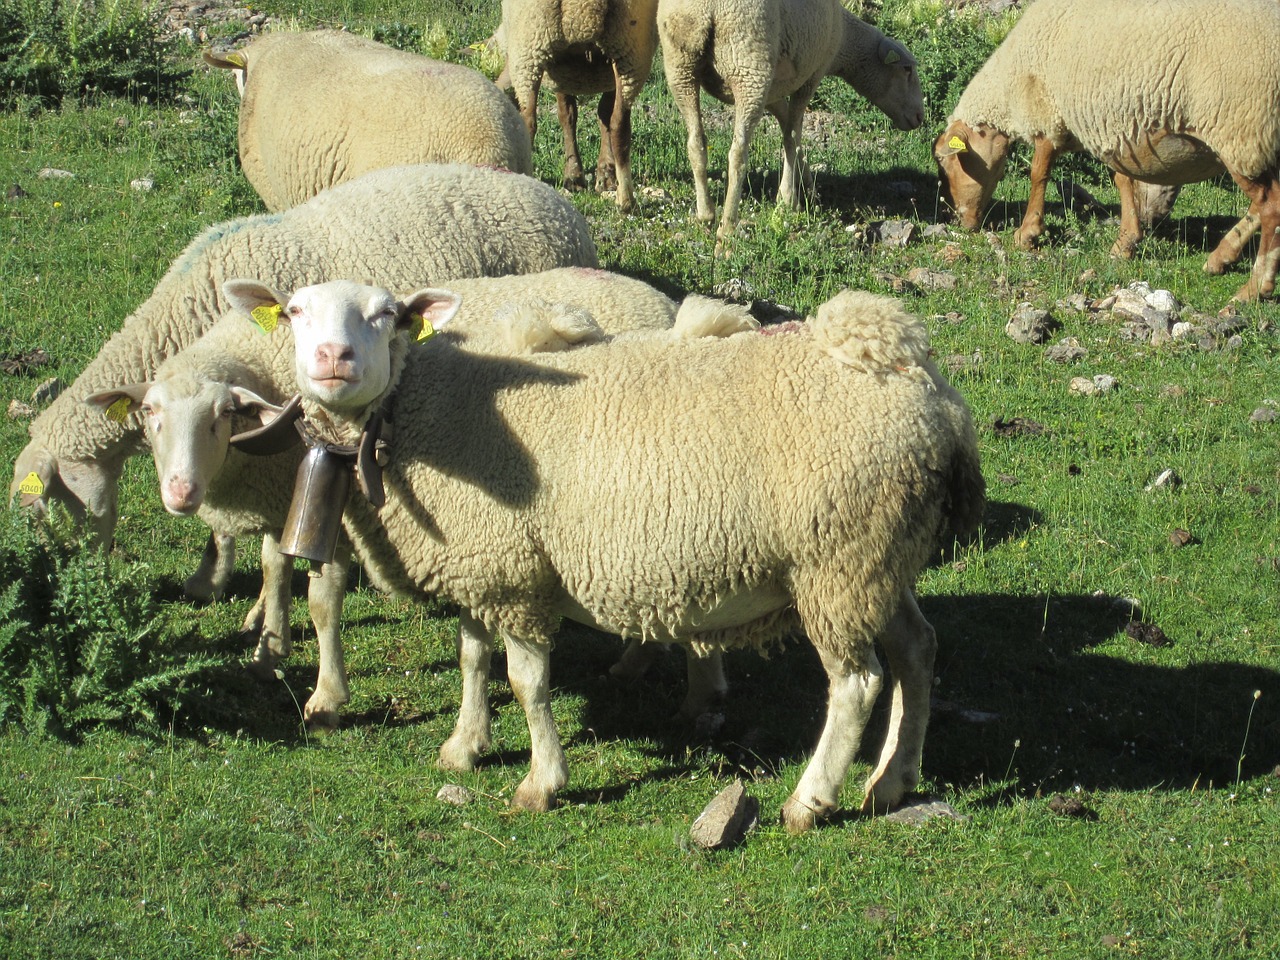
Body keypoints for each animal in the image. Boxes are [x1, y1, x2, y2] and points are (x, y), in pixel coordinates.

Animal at [225, 280, 983, 834]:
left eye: (386, 315)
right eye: (294, 311)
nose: (333, 360)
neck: (427, 411)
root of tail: (924, 386)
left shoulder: (517, 579)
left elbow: (527, 682)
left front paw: (540, 783)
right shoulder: (486, 564)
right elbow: (472, 658)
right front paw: (465, 746)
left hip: (836, 562)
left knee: (856, 683)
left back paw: (810, 800)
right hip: (881, 558)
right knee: (919, 649)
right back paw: (893, 781)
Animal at [496, 0, 660, 211]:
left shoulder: (562, 71)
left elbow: (570, 115)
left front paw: (581, 177)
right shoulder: (566, 72)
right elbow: (584, 115)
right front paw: (594, 176)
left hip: (530, 48)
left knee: (528, 123)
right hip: (625, 49)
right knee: (619, 124)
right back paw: (625, 200)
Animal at [655, 0, 926, 244]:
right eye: (907, 69)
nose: (919, 117)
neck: (843, 39)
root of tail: (707, 8)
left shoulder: (774, 91)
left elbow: (788, 127)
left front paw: (808, 185)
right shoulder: (810, 77)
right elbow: (792, 135)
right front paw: (788, 200)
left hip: (680, 66)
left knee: (695, 143)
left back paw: (706, 214)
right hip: (748, 67)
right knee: (737, 153)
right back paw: (727, 228)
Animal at [931, 0, 1280, 300]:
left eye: (946, 164)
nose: (961, 223)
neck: (1009, 86)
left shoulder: (1048, 115)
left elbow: (1038, 173)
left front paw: (1028, 234)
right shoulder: (1114, 127)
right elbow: (1123, 181)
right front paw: (1126, 242)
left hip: (1239, 127)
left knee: (1270, 207)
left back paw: (1254, 288)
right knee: (1264, 205)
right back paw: (1221, 258)